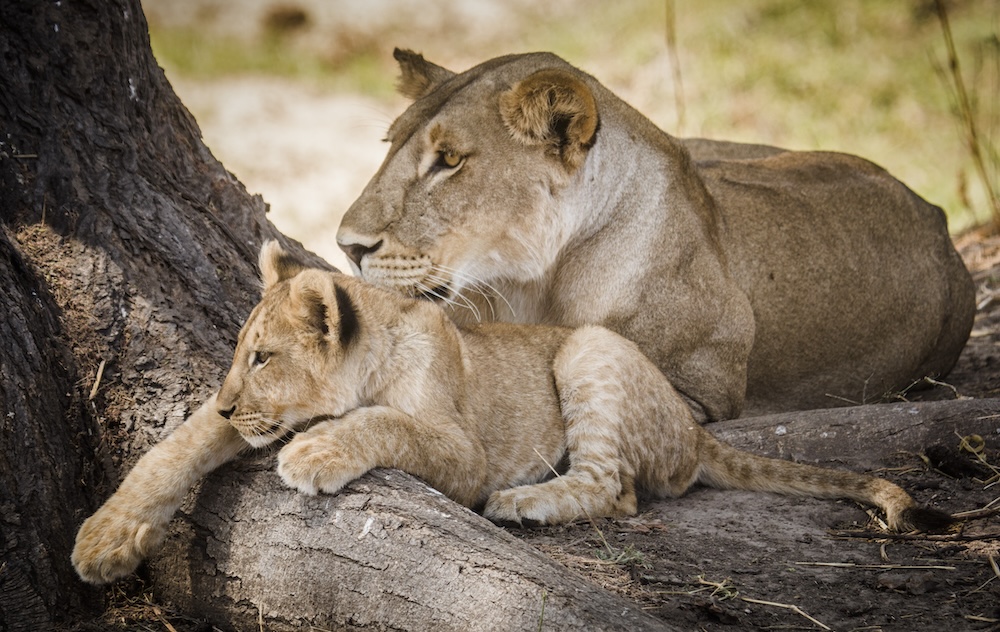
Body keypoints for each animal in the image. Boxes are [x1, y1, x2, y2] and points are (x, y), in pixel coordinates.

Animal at [72, 242, 952, 585]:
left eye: (263, 358)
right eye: (237, 356)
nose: (229, 397)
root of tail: (693, 429)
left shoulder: (460, 452)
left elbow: (385, 424)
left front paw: (316, 454)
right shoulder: (225, 426)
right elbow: (173, 447)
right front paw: (104, 540)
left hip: (589, 347)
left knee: (614, 489)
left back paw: (523, 502)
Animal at [336, 49, 976, 422]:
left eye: (449, 160)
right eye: (390, 145)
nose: (348, 246)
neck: (530, 282)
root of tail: (934, 212)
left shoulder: (704, 389)